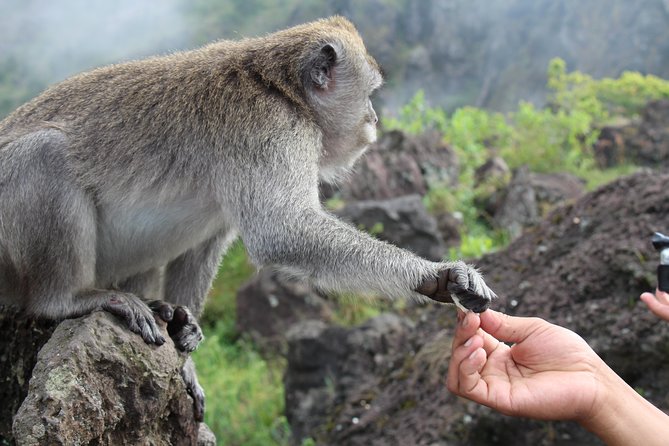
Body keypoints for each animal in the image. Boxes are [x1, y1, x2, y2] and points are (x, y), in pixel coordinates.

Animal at [0, 17, 496, 422]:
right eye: (370, 93)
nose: (374, 118)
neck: (282, 88)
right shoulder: (271, 129)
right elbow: (283, 231)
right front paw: (437, 274)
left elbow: (206, 245)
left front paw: (186, 354)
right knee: (44, 155)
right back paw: (69, 299)